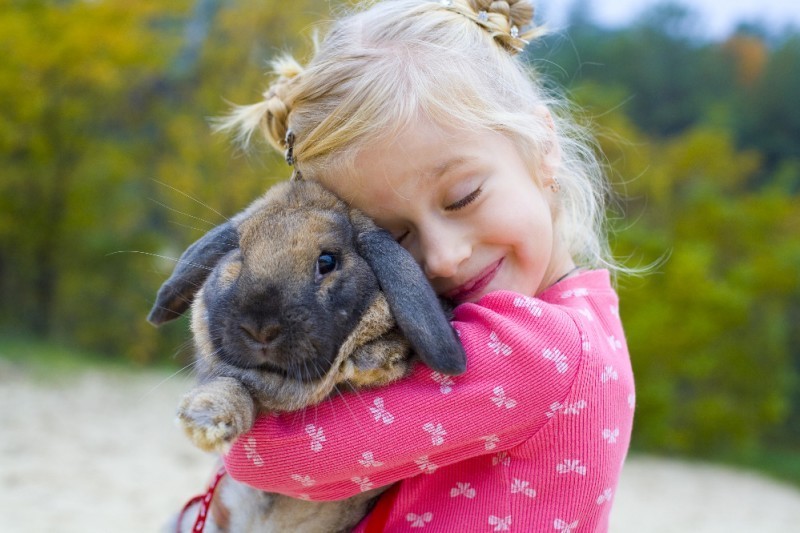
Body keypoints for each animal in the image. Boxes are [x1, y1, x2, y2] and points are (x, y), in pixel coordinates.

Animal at [147, 180, 466, 532]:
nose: (260, 328)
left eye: (327, 261)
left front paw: (377, 357)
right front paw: (206, 420)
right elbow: (233, 385)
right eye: (240, 256)